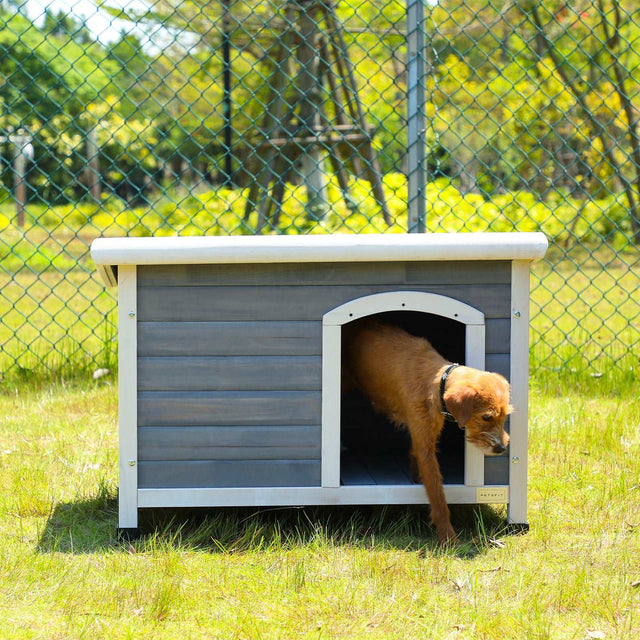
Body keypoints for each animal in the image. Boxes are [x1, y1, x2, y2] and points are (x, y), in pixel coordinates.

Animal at [342, 318, 512, 544]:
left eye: (504, 416)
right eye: (486, 417)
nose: (501, 448)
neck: (436, 379)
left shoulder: (424, 435)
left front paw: (416, 479)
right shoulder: (426, 448)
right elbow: (437, 494)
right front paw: (448, 536)